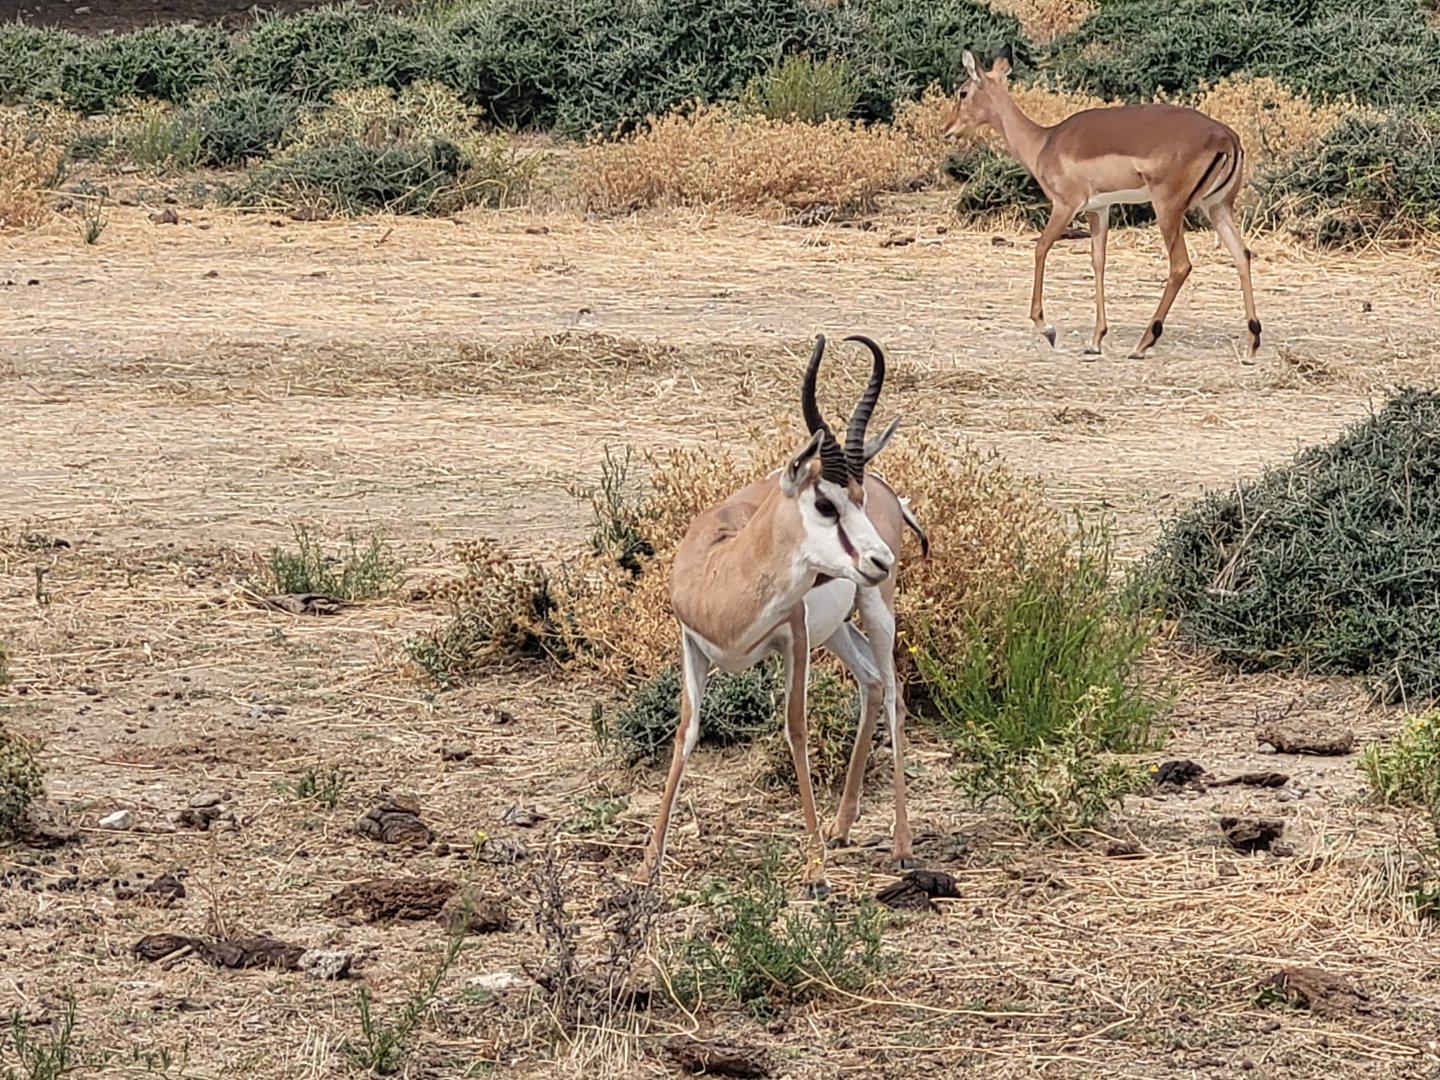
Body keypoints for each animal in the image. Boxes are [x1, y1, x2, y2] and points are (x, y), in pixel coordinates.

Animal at [641, 334, 930, 897]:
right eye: (826, 503)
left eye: (857, 499)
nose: (880, 558)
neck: (721, 573)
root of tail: (895, 494)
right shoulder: (690, 644)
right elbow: (686, 730)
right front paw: (650, 861)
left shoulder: (793, 640)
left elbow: (796, 729)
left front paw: (815, 872)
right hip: (837, 630)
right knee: (871, 684)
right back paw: (841, 826)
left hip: (875, 608)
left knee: (894, 696)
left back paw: (903, 846)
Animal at [942, 46, 1261, 361]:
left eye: (963, 92)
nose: (947, 130)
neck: (1044, 142)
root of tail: (1227, 138)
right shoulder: (1098, 210)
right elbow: (1098, 261)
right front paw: (1095, 340)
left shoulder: (1065, 206)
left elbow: (1040, 248)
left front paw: (1048, 330)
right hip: (1217, 207)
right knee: (1242, 255)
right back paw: (1251, 345)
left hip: (1168, 209)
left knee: (1181, 265)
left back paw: (1143, 343)